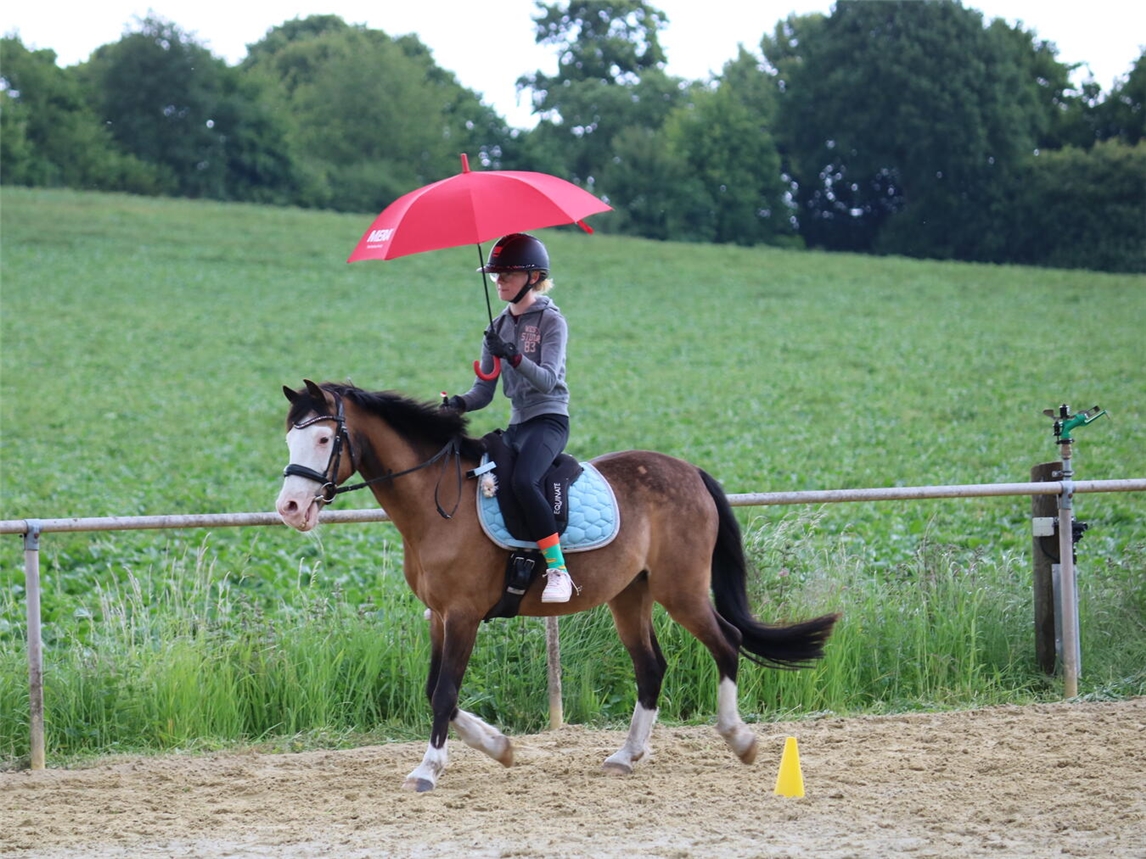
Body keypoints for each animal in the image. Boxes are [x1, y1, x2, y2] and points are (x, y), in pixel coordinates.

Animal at [275, 380, 839, 792]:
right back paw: (626, 756)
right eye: (290, 438)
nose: (291, 508)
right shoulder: (438, 616)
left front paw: (428, 770)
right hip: (631, 595)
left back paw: (739, 739)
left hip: (681, 591)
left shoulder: (462, 615)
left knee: (727, 642)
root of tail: (691, 472)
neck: (438, 501)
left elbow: (444, 693)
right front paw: (500, 747)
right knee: (651, 666)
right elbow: (438, 691)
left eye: (324, 439)